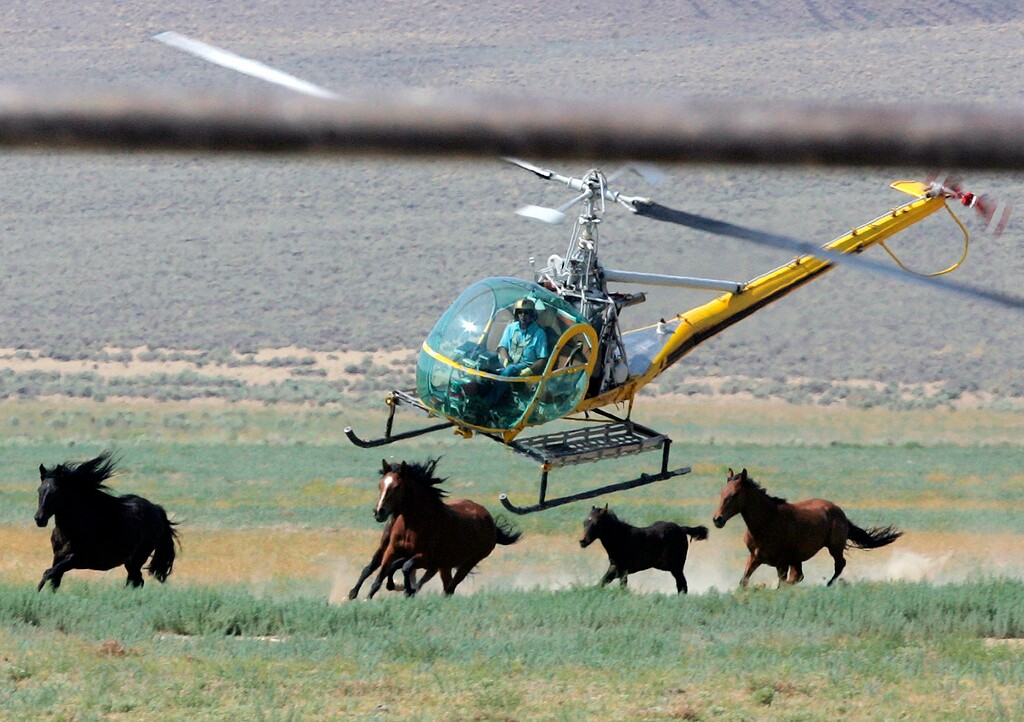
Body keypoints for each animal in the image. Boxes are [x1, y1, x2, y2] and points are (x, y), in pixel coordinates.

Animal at [35, 453, 180, 591]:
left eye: (56, 491)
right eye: (39, 490)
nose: (39, 519)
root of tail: (156, 509)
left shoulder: (75, 559)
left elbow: (47, 573)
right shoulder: (58, 557)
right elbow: (54, 581)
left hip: (137, 558)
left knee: (136, 581)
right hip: (130, 562)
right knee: (135, 581)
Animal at [368, 458, 522, 597]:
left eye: (397, 487)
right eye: (380, 485)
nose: (379, 512)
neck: (412, 526)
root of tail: (491, 522)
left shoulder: (427, 558)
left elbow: (405, 567)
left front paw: (407, 589)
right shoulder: (392, 550)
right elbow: (381, 576)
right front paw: (371, 596)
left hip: (468, 563)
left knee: (449, 588)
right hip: (445, 565)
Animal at [579, 505, 708, 594]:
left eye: (597, 523)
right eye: (585, 522)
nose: (582, 541)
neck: (621, 538)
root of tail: (681, 529)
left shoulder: (620, 569)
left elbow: (610, 584)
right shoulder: (618, 570)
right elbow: (604, 583)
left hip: (676, 567)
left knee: (682, 585)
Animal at [712, 468, 902, 588]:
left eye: (735, 494)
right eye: (721, 493)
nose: (717, 519)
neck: (767, 522)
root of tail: (840, 512)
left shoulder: (782, 562)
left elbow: (782, 583)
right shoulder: (755, 557)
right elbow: (743, 581)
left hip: (834, 547)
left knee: (839, 565)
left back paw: (827, 584)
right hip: (798, 558)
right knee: (801, 575)